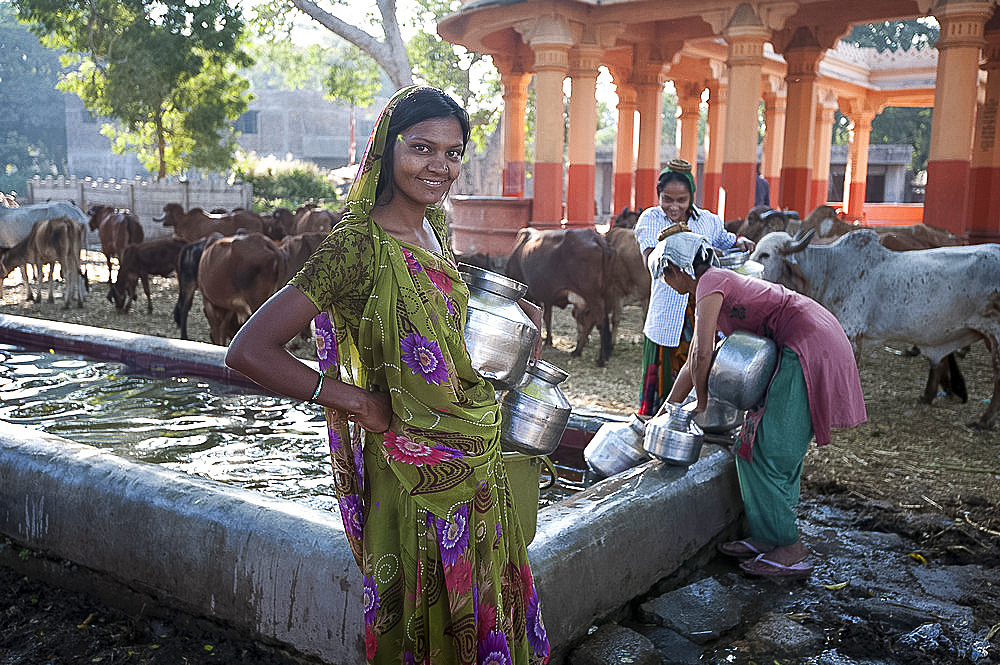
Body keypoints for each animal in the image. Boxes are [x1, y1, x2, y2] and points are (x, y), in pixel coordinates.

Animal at [504, 227, 612, 364]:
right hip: (600, 295)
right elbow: (547, 317)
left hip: (592, 296)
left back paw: (600, 358)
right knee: (593, 321)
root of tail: (596, 237)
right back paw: (579, 351)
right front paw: (548, 340)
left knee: (599, 322)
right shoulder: (547, 297)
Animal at [752, 227, 1000, 426]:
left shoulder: (851, 332)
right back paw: (928, 397)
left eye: (765, 254)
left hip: (996, 337)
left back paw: (984, 421)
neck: (831, 269)